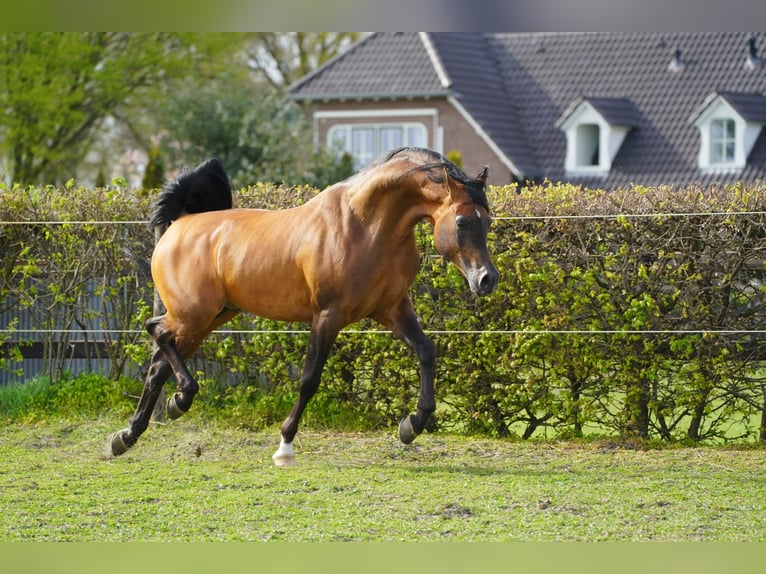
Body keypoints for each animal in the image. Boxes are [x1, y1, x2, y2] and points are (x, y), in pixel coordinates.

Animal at [111, 148, 500, 468]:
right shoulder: (328, 315)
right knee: (156, 330)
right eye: (463, 221)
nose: (486, 280)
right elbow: (309, 380)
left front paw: (411, 426)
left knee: (157, 365)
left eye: (488, 220)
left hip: (210, 318)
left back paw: (131, 433)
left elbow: (426, 352)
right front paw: (285, 447)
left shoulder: (392, 308)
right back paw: (177, 401)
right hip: (192, 315)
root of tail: (179, 224)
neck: (367, 225)